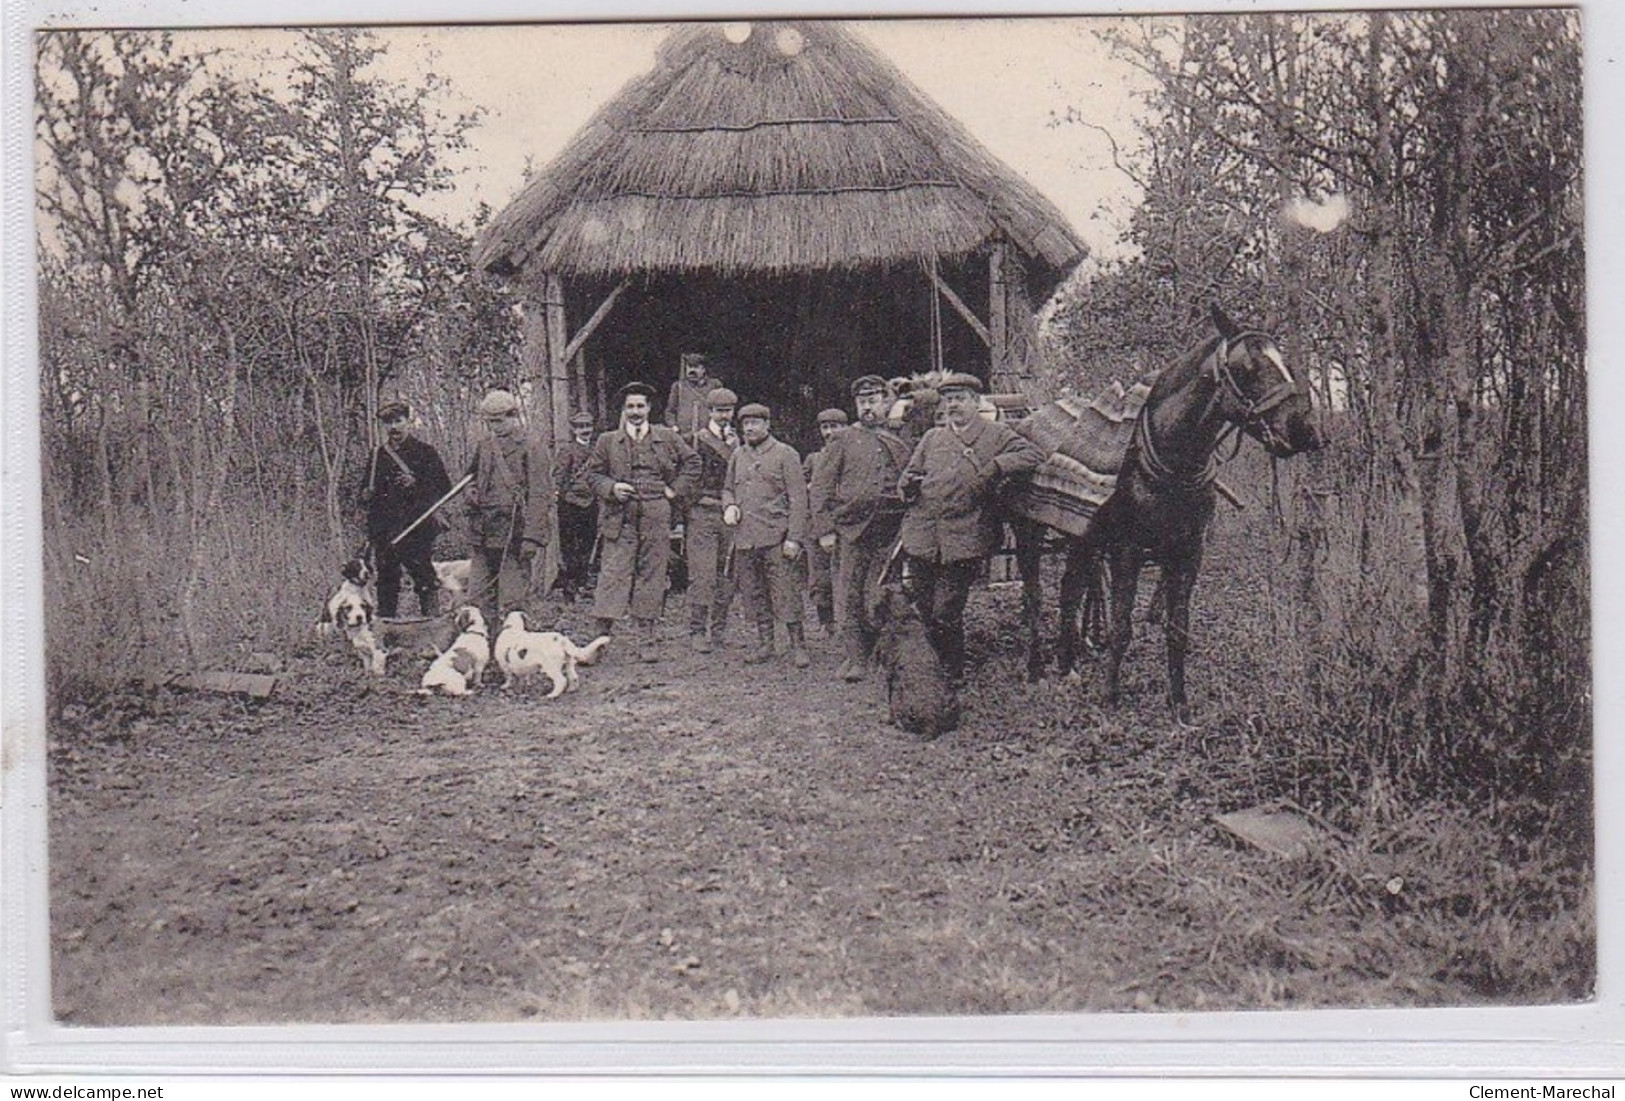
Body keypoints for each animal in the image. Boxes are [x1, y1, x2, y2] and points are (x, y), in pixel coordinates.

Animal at [871, 587, 955, 740]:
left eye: (879, 602)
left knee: (899, 718)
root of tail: (930, 718)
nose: (872, 616)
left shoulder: (888, 669)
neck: (904, 615)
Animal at [1014, 306, 1319, 727]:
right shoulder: (1126, 551)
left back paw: (1067, 663)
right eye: (1246, 368)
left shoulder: (1189, 552)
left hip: (1081, 539)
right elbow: (1122, 626)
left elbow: (1178, 629)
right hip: (1028, 534)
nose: (1304, 430)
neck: (1171, 459)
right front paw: (1110, 695)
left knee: (1069, 589)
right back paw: (1036, 667)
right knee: (1034, 596)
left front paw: (1179, 703)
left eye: (1285, 363)